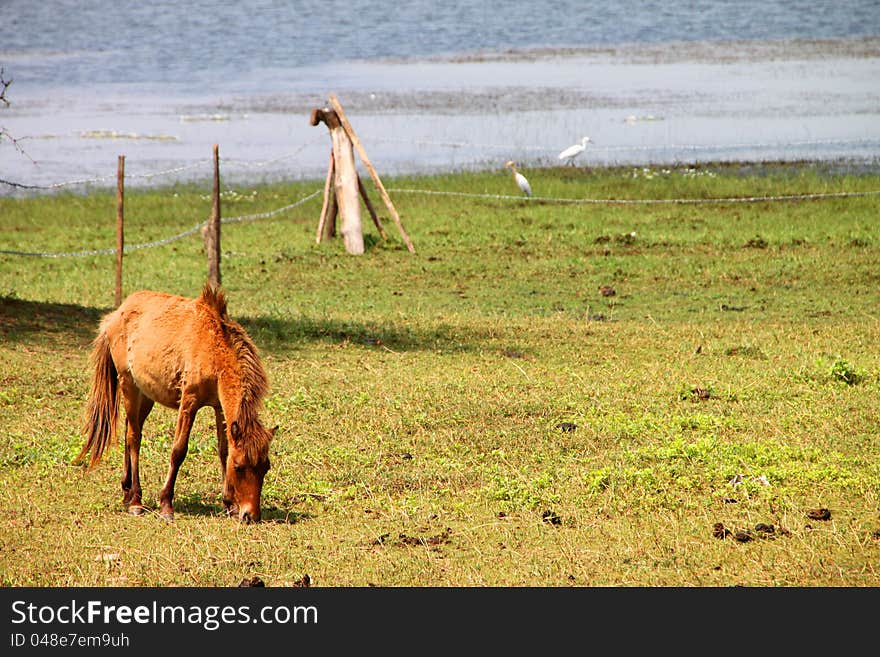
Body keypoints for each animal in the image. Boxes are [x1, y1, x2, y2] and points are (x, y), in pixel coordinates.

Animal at [76, 282, 276, 524]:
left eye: (265, 467)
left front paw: (229, 505)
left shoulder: (219, 408)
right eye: (239, 468)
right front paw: (166, 505)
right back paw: (136, 502)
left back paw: (126, 493)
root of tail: (115, 315)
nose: (251, 515)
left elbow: (223, 450)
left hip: (146, 395)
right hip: (128, 384)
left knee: (128, 432)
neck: (213, 348)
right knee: (134, 438)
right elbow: (178, 451)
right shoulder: (189, 402)